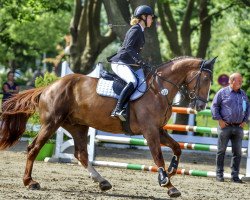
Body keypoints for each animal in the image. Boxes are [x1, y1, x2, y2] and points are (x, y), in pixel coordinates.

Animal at [0, 56, 215, 197]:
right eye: (205, 79)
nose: (201, 106)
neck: (159, 90)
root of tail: (49, 87)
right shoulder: (150, 131)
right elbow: (157, 156)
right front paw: (168, 184)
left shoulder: (159, 130)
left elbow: (177, 148)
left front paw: (171, 171)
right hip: (52, 123)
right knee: (34, 148)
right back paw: (30, 182)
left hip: (77, 126)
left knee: (81, 154)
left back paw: (102, 182)